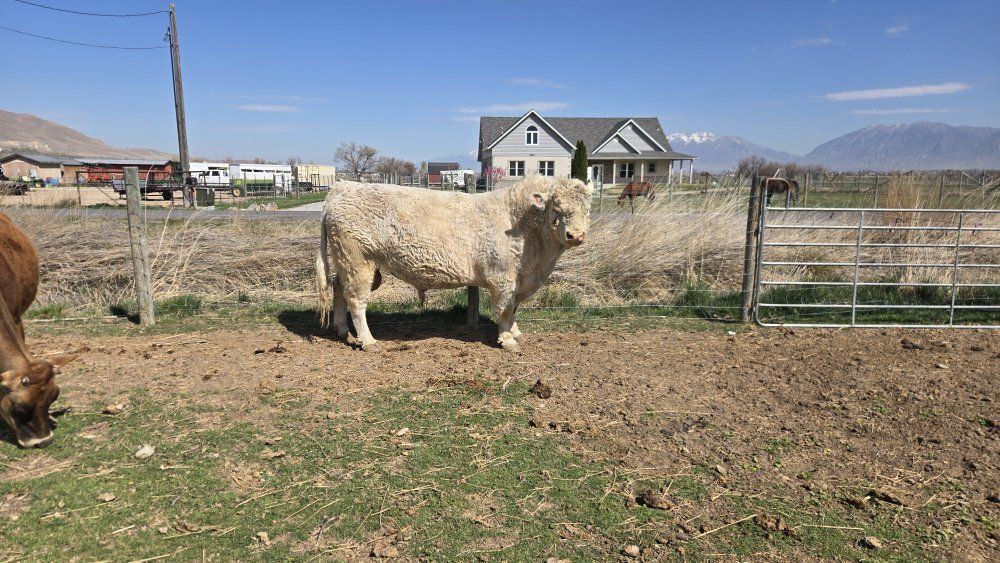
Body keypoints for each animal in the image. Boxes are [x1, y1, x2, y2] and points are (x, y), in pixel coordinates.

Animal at [316, 177, 593, 353]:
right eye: (556, 208)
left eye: (587, 209)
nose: (577, 235)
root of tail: (340, 188)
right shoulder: (503, 277)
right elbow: (505, 309)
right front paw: (507, 340)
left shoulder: (521, 278)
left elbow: (513, 307)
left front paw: (515, 332)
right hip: (358, 261)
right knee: (356, 300)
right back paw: (368, 341)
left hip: (346, 261)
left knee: (338, 288)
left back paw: (342, 330)